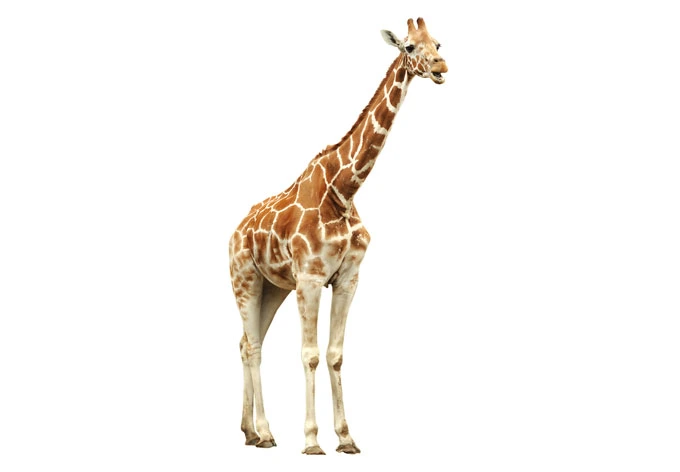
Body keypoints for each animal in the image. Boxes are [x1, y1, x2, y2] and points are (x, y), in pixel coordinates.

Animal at [229, 17, 447, 455]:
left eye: (439, 44)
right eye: (410, 47)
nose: (440, 67)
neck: (344, 190)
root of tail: (235, 231)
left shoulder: (347, 279)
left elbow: (335, 354)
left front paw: (346, 438)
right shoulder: (311, 280)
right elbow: (310, 354)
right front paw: (312, 440)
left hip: (273, 288)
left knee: (247, 343)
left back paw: (250, 431)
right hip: (244, 279)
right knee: (254, 346)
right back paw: (265, 432)